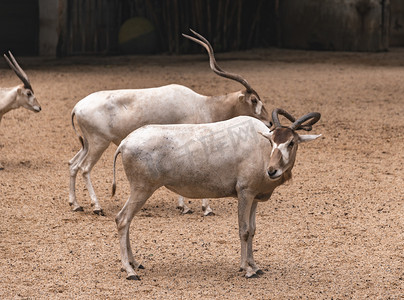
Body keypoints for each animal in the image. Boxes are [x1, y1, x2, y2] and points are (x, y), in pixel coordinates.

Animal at [69, 30, 272, 214]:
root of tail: (77, 107)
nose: (270, 122)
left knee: (73, 164)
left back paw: (76, 204)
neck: (204, 105)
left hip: (88, 143)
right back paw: (97, 207)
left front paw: (184, 206)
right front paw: (202, 208)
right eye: (254, 100)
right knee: (84, 168)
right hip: (99, 143)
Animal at [111, 109, 322, 280]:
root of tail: (124, 143)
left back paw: (135, 263)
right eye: (272, 141)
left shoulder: (254, 197)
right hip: (142, 188)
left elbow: (253, 229)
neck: (260, 147)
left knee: (127, 221)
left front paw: (255, 266)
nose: (271, 171)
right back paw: (129, 271)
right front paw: (247, 270)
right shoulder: (244, 193)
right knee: (122, 219)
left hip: (140, 189)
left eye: (291, 142)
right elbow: (244, 230)